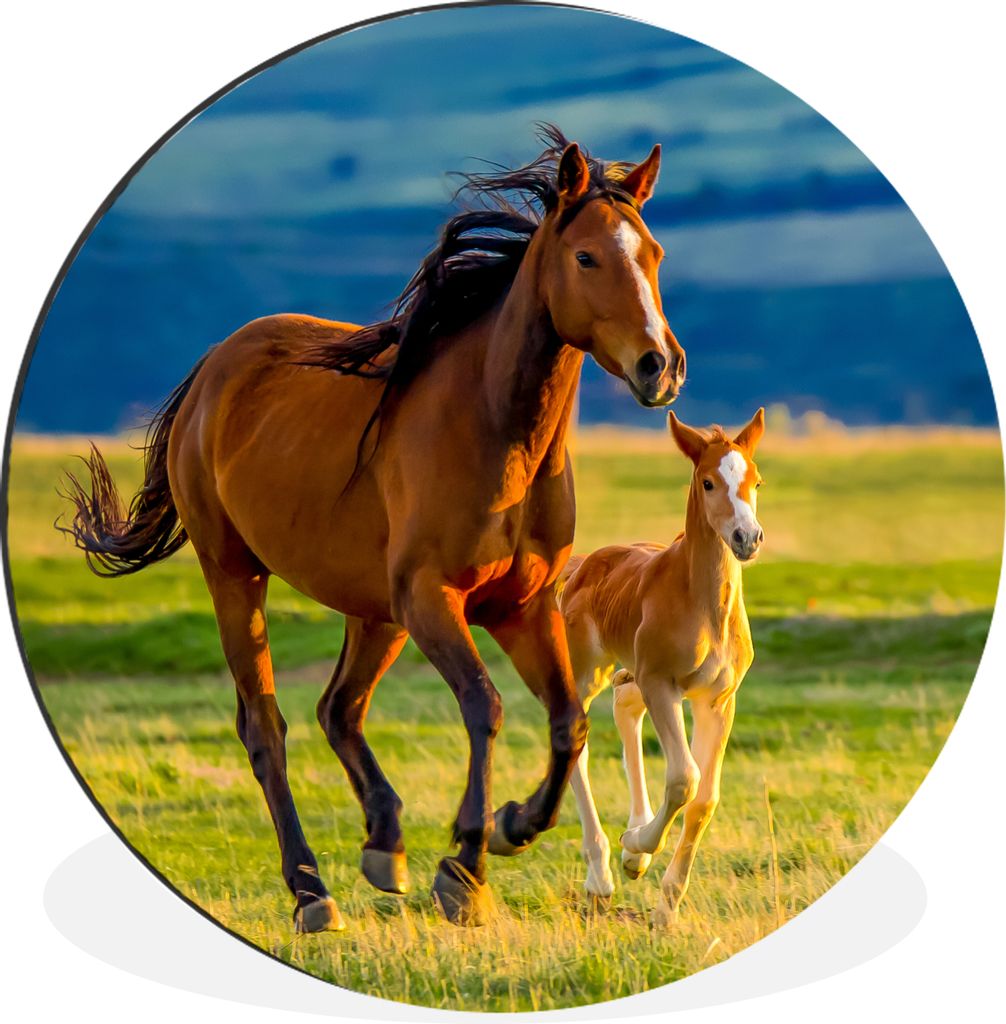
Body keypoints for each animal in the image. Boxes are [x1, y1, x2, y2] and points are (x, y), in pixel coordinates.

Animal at [58, 125, 686, 931]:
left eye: (654, 254)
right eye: (586, 257)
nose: (660, 367)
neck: (496, 433)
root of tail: (213, 370)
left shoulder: (522, 607)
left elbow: (567, 722)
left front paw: (511, 826)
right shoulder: (433, 599)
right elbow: (484, 707)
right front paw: (465, 868)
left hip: (374, 611)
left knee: (339, 709)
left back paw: (384, 845)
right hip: (239, 575)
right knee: (266, 727)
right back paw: (311, 890)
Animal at [557, 408, 765, 924]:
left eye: (756, 480)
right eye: (708, 482)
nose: (747, 538)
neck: (704, 604)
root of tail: (583, 564)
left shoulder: (718, 700)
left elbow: (705, 797)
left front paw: (666, 907)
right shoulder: (662, 684)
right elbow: (684, 778)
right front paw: (636, 845)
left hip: (632, 673)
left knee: (625, 708)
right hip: (588, 671)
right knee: (577, 738)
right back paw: (602, 875)